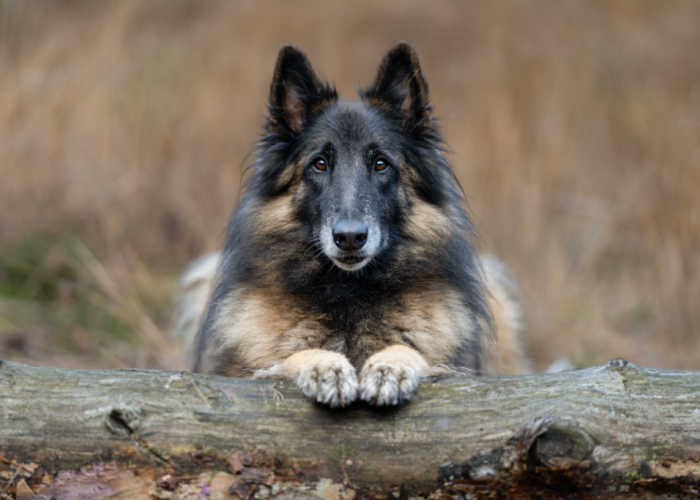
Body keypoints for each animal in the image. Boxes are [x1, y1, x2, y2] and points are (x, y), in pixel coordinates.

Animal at [176, 44, 532, 406]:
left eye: (381, 164)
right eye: (319, 164)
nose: (349, 238)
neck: (349, 292)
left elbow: (414, 351)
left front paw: (391, 366)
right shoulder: (241, 371)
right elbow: (285, 357)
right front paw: (324, 365)